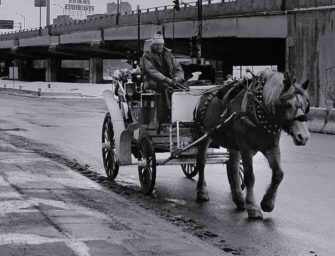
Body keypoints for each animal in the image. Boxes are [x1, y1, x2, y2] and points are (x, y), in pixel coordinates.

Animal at [196, 69, 312, 218]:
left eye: (306, 105)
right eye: (287, 104)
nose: (303, 137)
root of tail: (206, 92)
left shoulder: (272, 146)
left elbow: (278, 174)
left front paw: (268, 203)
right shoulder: (246, 148)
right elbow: (250, 177)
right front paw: (252, 207)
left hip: (233, 143)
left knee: (233, 166)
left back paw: (239, 199)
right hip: (204, 135)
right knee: (201, 162)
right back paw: (202, 191)